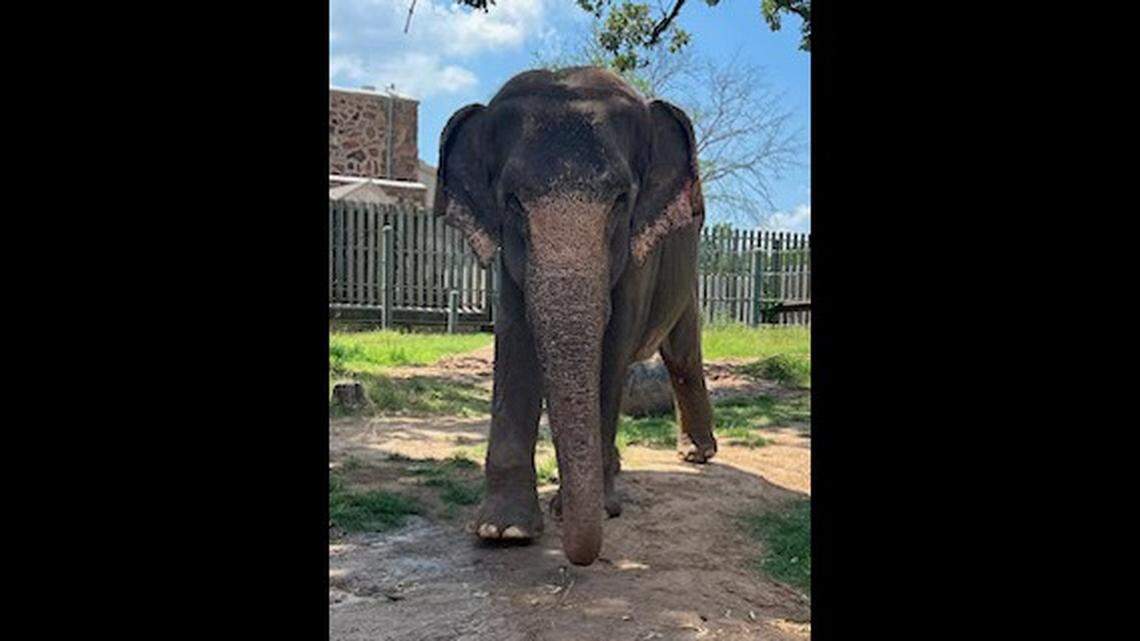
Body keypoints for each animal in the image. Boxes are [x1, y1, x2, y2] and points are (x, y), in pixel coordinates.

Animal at [433, 67, 717, 566]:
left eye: (622, 199)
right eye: (512, 202)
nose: (577, 554)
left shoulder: (639, 253)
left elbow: (614, 343)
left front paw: (593, 509)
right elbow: (514, 336)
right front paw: (503, 532)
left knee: (682, 356)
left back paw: (695, 456)